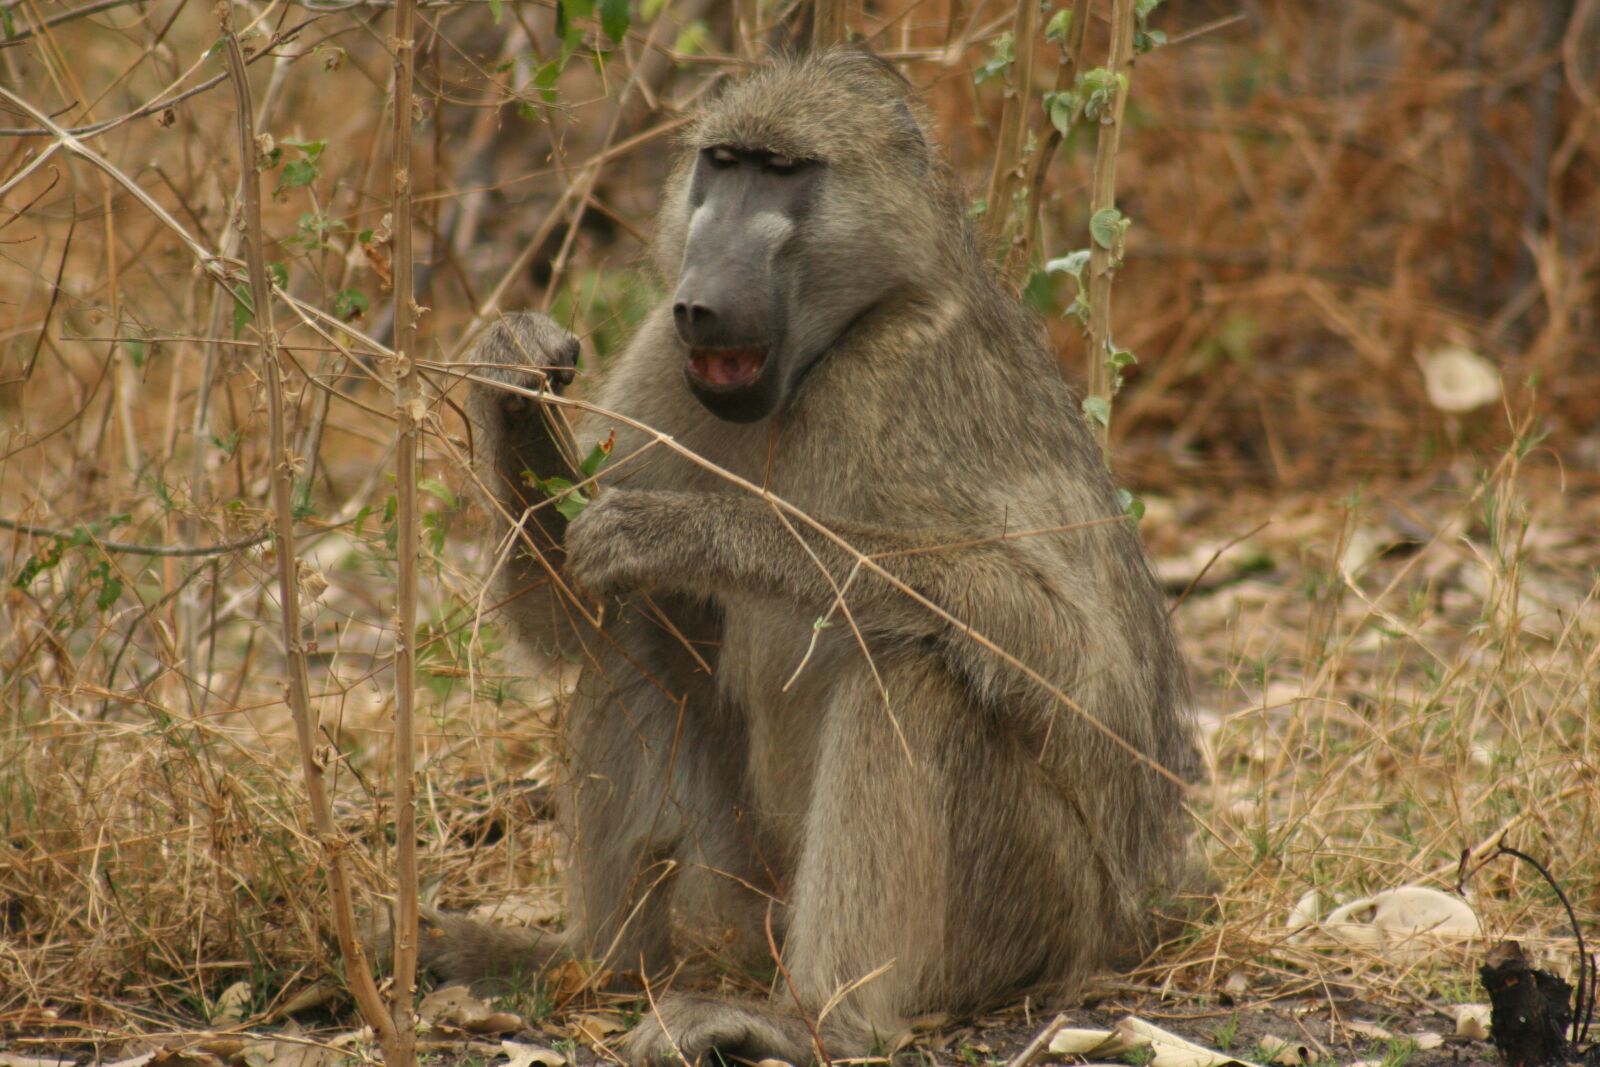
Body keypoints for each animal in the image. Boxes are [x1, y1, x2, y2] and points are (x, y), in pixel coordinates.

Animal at [440, 47, 1199, 1067]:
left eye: (783, 172)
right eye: (721, 164)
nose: (700, 301)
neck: (820, 361)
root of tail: (1121, 929)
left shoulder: (913, 377)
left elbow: (1077, 660)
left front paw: (695, 532)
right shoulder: (658, 360)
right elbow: (578, 612)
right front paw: (514, 386)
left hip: (1041, 907)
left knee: (917, 671)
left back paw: (815, 1021)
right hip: (744, 888)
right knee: (633, 634)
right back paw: (598, 965)